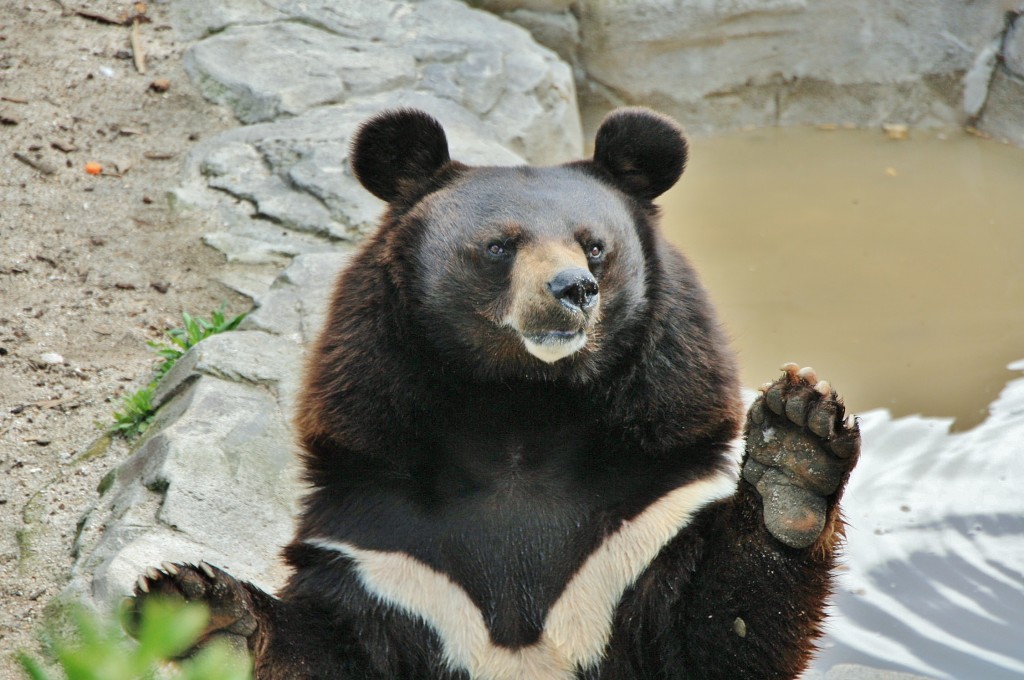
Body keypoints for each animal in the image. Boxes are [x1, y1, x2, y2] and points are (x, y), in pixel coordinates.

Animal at [132, 109, 860, 675]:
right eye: (498, 247)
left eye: (595, 247)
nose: (572, 290)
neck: (519, 415)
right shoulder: (386, 558)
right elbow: (330, 648)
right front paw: (203, 609)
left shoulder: (639, 535)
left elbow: (718, 633)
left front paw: (797, 442)